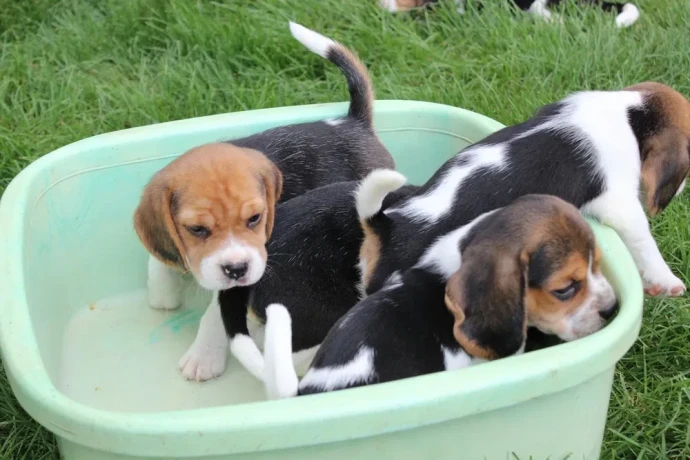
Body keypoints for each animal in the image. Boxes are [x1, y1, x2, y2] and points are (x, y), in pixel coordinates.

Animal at [133, 21, 392, 380]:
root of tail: (353, 122)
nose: (236, 268)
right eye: (196, 229)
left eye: (255, 219)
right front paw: (163, 292)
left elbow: (215, 316)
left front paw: (204, 356)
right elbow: (158, 259)